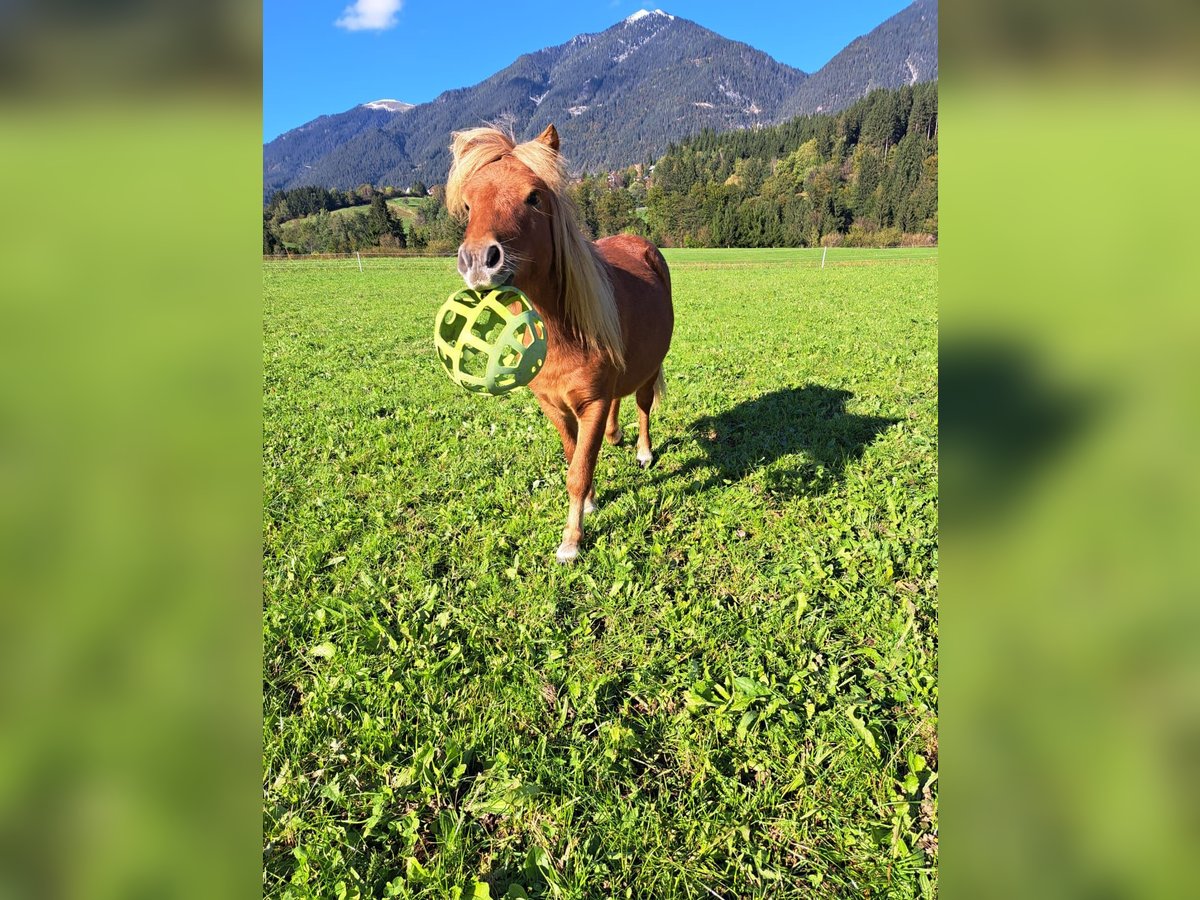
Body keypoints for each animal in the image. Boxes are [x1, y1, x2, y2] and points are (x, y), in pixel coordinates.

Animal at [448, 125, 676, 564]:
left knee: (642, 406)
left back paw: (643, 451)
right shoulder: (552, 406)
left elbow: (578, 471)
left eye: (533, 197)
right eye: (468, 205)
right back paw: (615, 436)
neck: (561, 336)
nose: (478, 261)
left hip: (649, 369)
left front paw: (572, 539)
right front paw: (589, 503)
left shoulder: (592, 404)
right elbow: (575, 459)